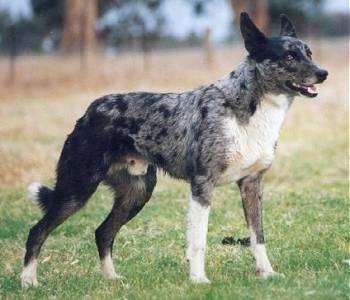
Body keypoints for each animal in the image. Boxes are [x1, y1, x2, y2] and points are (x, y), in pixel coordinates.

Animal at [21, 12, 328, 288]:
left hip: (137, 193)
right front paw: (199, 280)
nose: (323, 73)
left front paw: (266, 273)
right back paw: (28, 281)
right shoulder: (202, 185)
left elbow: (258, 237)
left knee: (103, 232)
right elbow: (198, 241)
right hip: (77, 190)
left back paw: (112, 279)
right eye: (288, 57)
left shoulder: (251, 184)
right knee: (38, 231)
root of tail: (90, 111)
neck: (246, 107)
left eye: (309, 53)